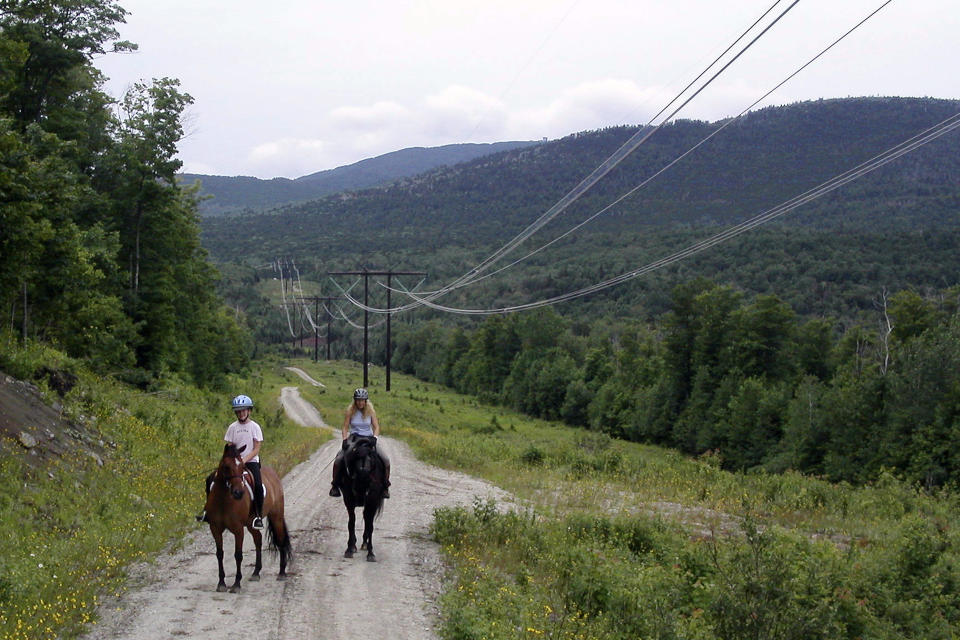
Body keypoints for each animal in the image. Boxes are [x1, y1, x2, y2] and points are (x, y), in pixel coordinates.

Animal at [203, 444, 290, 592]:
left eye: (242, 466)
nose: (238, 493)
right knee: (258, 540)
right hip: (250, 523)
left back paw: (282, 573)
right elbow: (219, 554)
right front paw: (221, 583)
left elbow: (238, 555)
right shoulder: (215, 528)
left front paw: (236, 584)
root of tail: (273, 474)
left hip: (276, 516)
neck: (223, 500)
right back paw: (256, 573)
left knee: (280, 539)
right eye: (226, 466)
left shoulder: (238, 529)